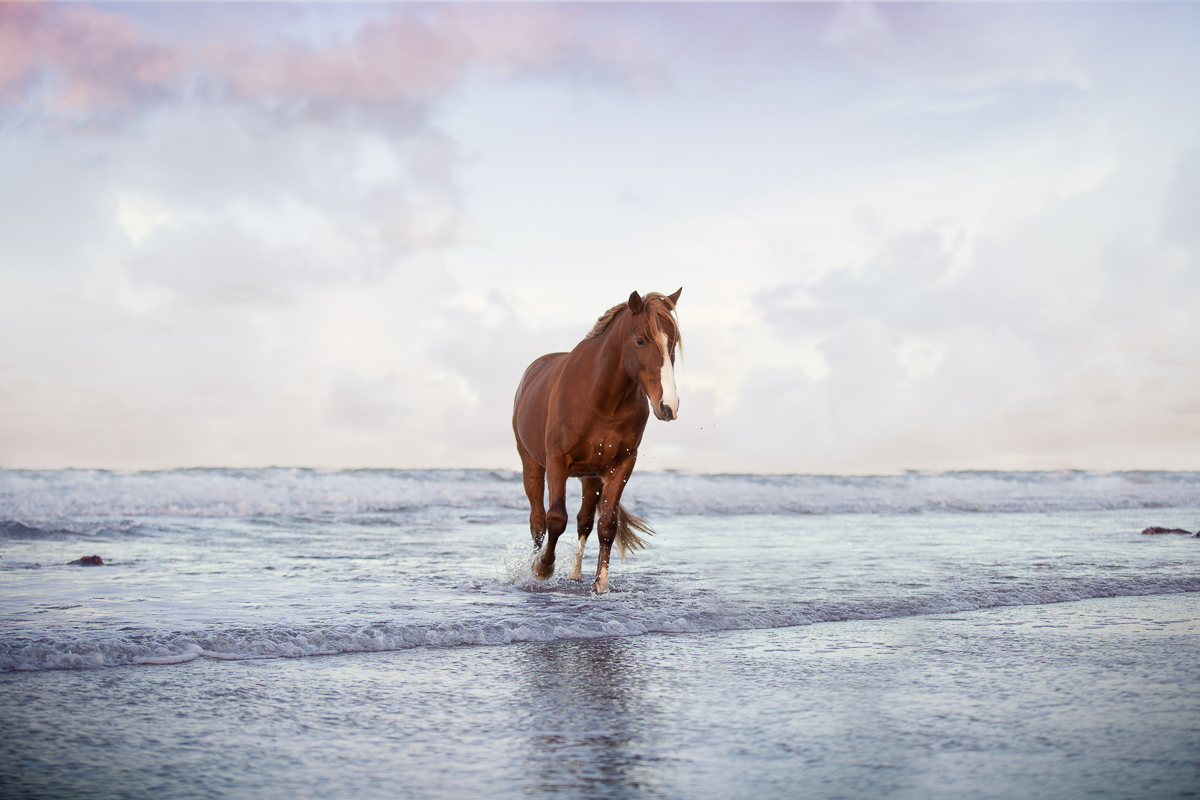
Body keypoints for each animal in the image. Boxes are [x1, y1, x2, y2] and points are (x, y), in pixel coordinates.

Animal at [512, 288, 682, 593]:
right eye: (640, 340)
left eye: (672, 342)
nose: (669, 405)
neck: (602, 400)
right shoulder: (557, 462)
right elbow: (556, 518)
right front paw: (543, 568)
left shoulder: (622, 464)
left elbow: (607, 524)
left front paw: (601, 583)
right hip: (531, 463)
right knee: (538, 521)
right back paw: (534, 567)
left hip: (590, 477)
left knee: (585, 522)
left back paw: (575, 574)